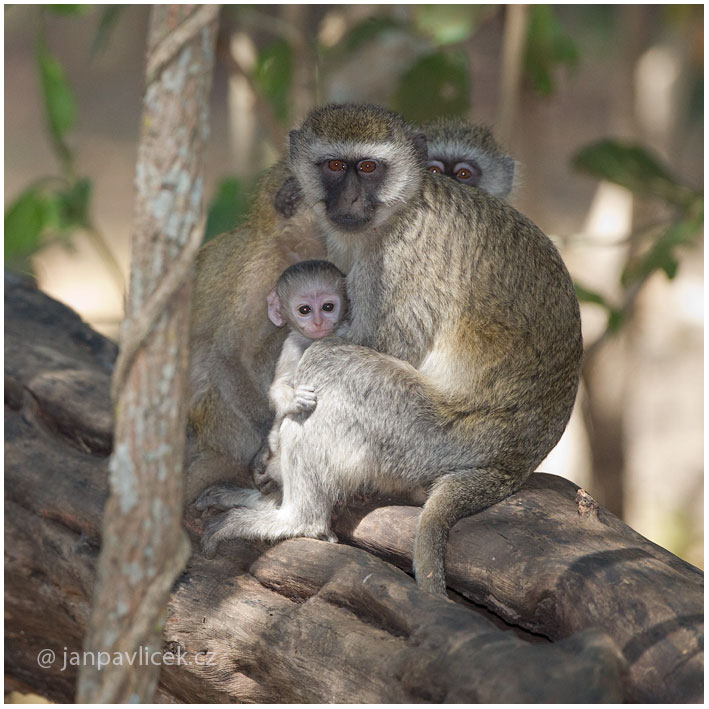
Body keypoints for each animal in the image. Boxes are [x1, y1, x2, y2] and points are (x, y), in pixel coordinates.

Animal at [252, 260, 348, 492]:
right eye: (305, 310)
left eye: (328, 307)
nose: (318, 322)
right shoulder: (291, 345)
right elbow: (278, 387)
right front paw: (295, 398)